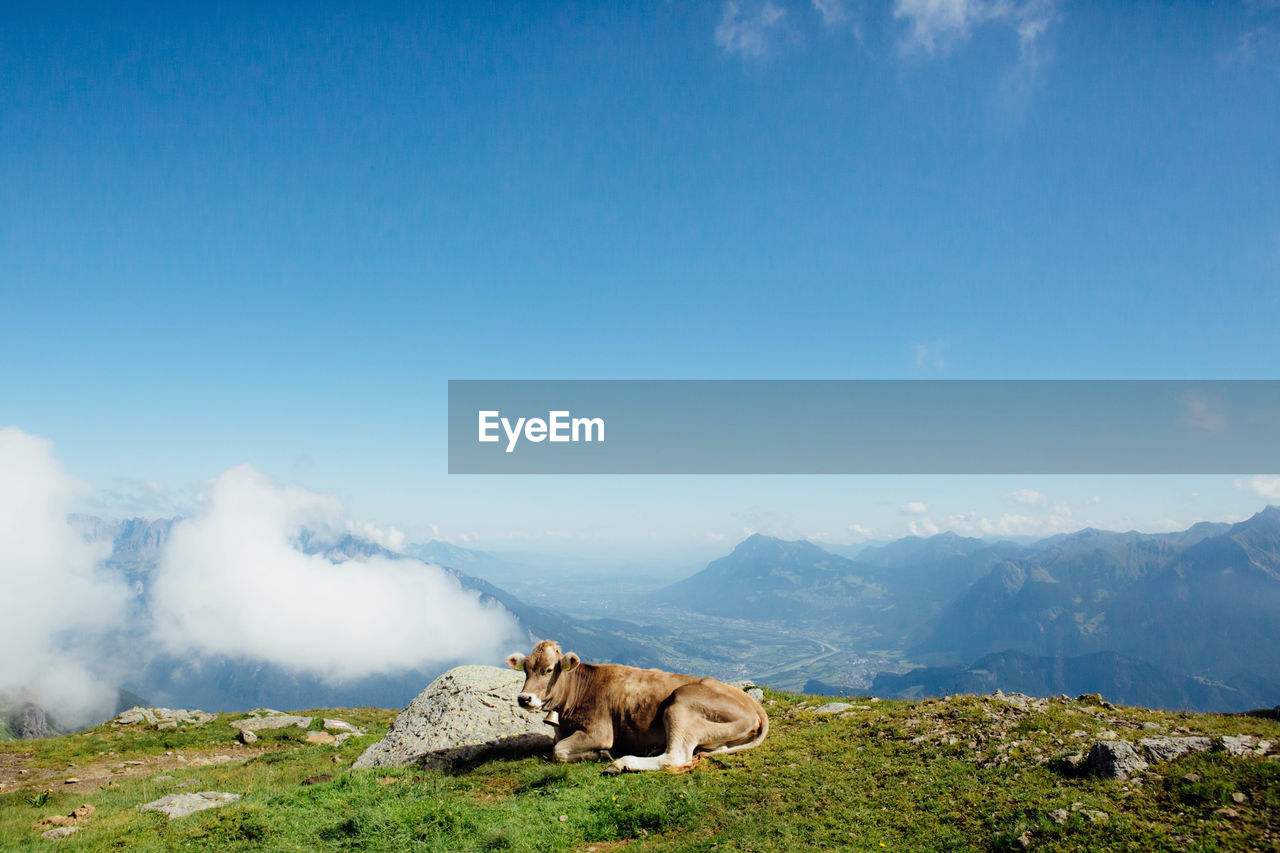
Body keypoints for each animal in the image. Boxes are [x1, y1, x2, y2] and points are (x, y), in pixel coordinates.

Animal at [504, 637, 768, 768]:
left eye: (548, 670)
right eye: (526, 669)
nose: (524, 698)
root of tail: (753, 705)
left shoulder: (600, 731)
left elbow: (557, 751)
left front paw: (601, 754)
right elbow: (556, 747)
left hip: (680, 704)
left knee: (674, 757)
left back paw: (622, 763)